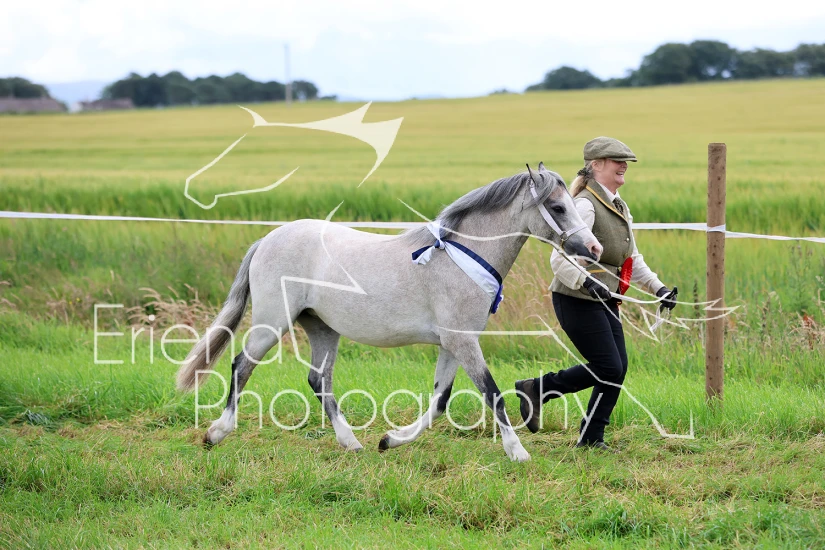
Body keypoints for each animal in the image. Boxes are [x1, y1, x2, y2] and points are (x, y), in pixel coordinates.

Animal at [176, 163, 602, 461]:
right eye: (558, 207)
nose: (594, 249)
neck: (462, 256)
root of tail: (267, 239)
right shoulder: (463, 342)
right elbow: (492, 393)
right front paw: (518, 452)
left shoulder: (452, 343)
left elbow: (440, 401)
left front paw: (389, 440)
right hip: (272, 320)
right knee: (241, 365)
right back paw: (216, 433)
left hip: (322, 327)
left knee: (318, 380)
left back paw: (351, 443)